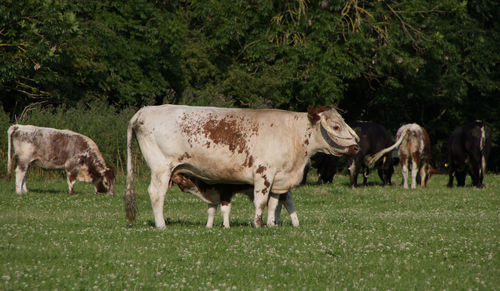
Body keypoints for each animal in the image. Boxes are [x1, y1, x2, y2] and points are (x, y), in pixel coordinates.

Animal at [124, 105, 360, 230]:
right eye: (336, 126)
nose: (356, 146)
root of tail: (145, 111)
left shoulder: (279, 178)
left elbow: (274, 204)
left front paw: (272, 225)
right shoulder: (264, 172)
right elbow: (261, 201)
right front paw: (258, 224)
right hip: (161, 168)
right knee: (156, 193)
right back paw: (161, 224)